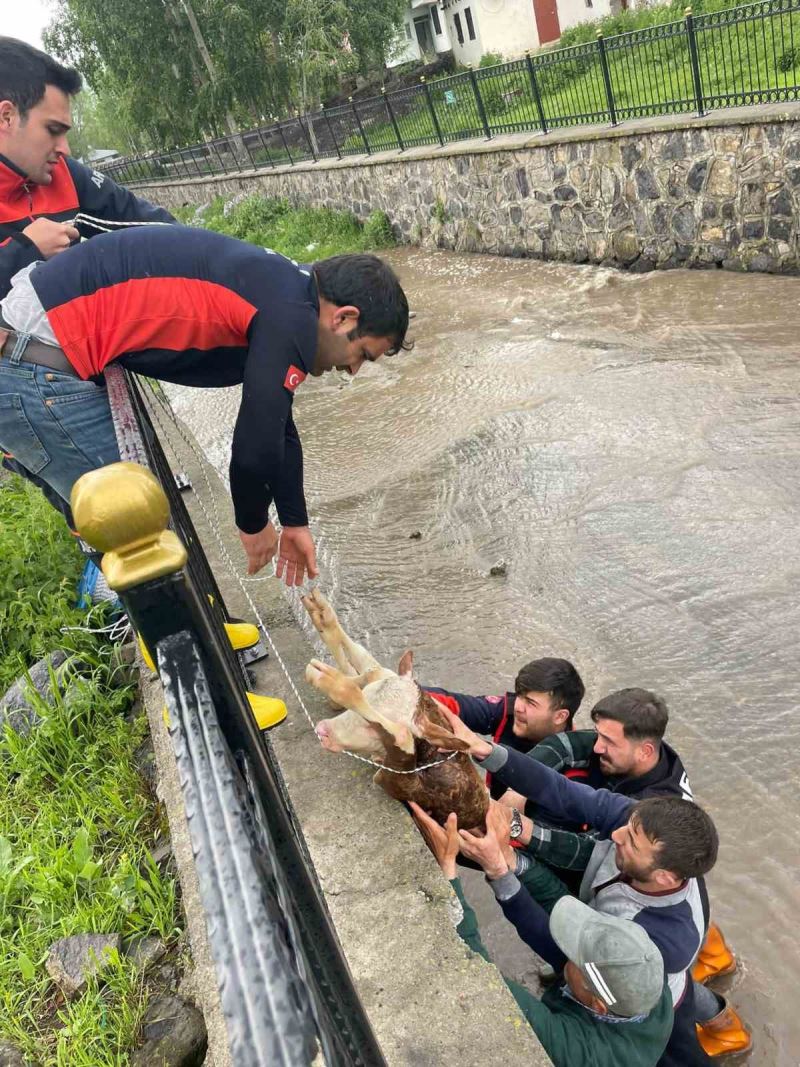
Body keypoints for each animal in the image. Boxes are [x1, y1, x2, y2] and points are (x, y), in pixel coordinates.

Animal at [300, 588, 488, 827]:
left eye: (370, 728)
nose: (323, 731)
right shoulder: (383, 675)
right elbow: (365, 663)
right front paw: (322, 615)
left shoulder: (394, 779)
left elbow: (399, 733)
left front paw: (331, 682)